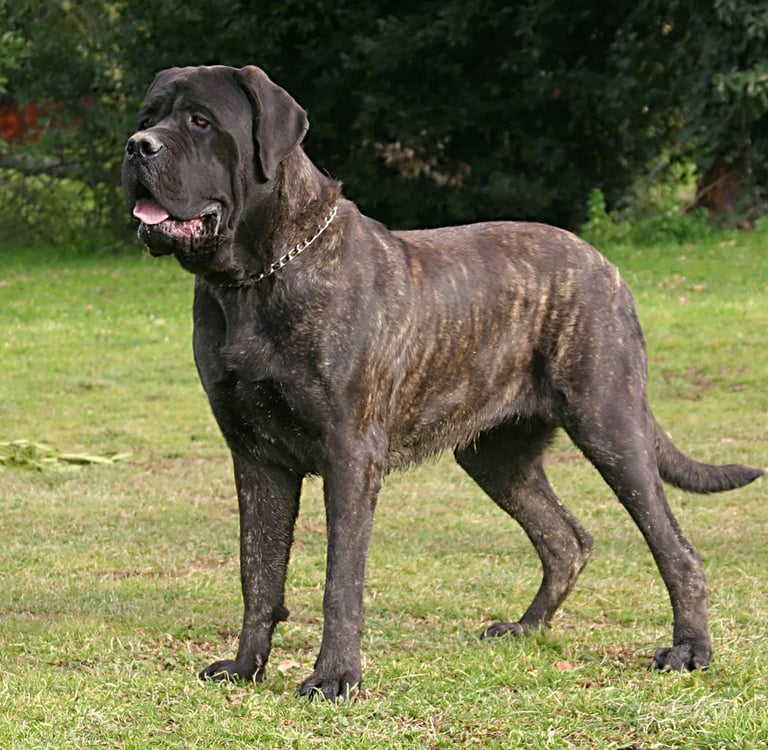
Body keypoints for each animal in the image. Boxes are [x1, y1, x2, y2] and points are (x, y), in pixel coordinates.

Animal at [122, 65, 762, 701]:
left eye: (201, 121)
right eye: (147, 117)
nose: (136, 147)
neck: (257, 279)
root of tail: (607, 267)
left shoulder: (349, 456)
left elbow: (340, 580)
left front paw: (335, 677)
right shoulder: (255, 457)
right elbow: (257, 571)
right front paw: (244, 666)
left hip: (610, 427)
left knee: (676, 549)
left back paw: (690, 651)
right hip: (494, 456)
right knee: (567, 539)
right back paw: (526, 628)